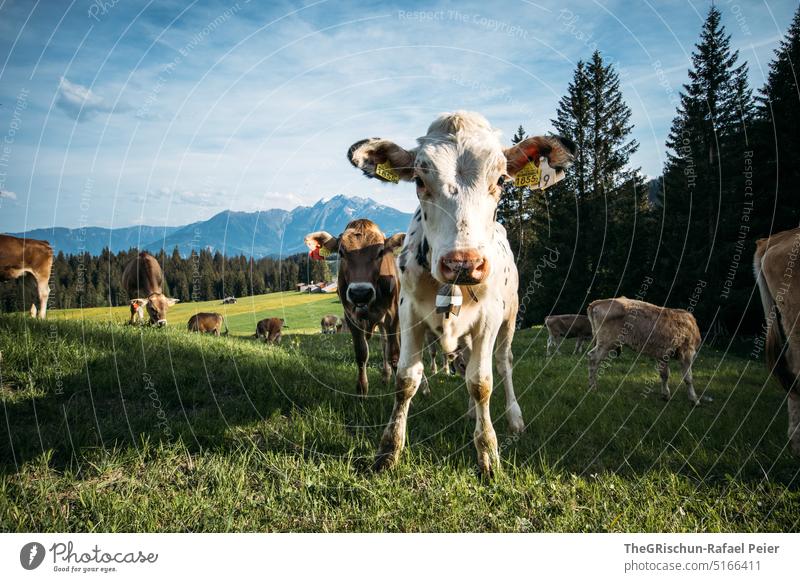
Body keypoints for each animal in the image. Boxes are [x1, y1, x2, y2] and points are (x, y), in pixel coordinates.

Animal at [348, 112, 576, 476]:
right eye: (419, 181)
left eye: (501, 180)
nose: (462, 262)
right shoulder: (408, 313)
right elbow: (406, 379)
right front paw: (388, 451)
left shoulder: (490, 318)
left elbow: (482, 382)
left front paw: (488, 454)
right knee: (467, 360)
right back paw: (471, 413)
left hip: (510, 317)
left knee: (503, 363)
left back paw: (514, 418)